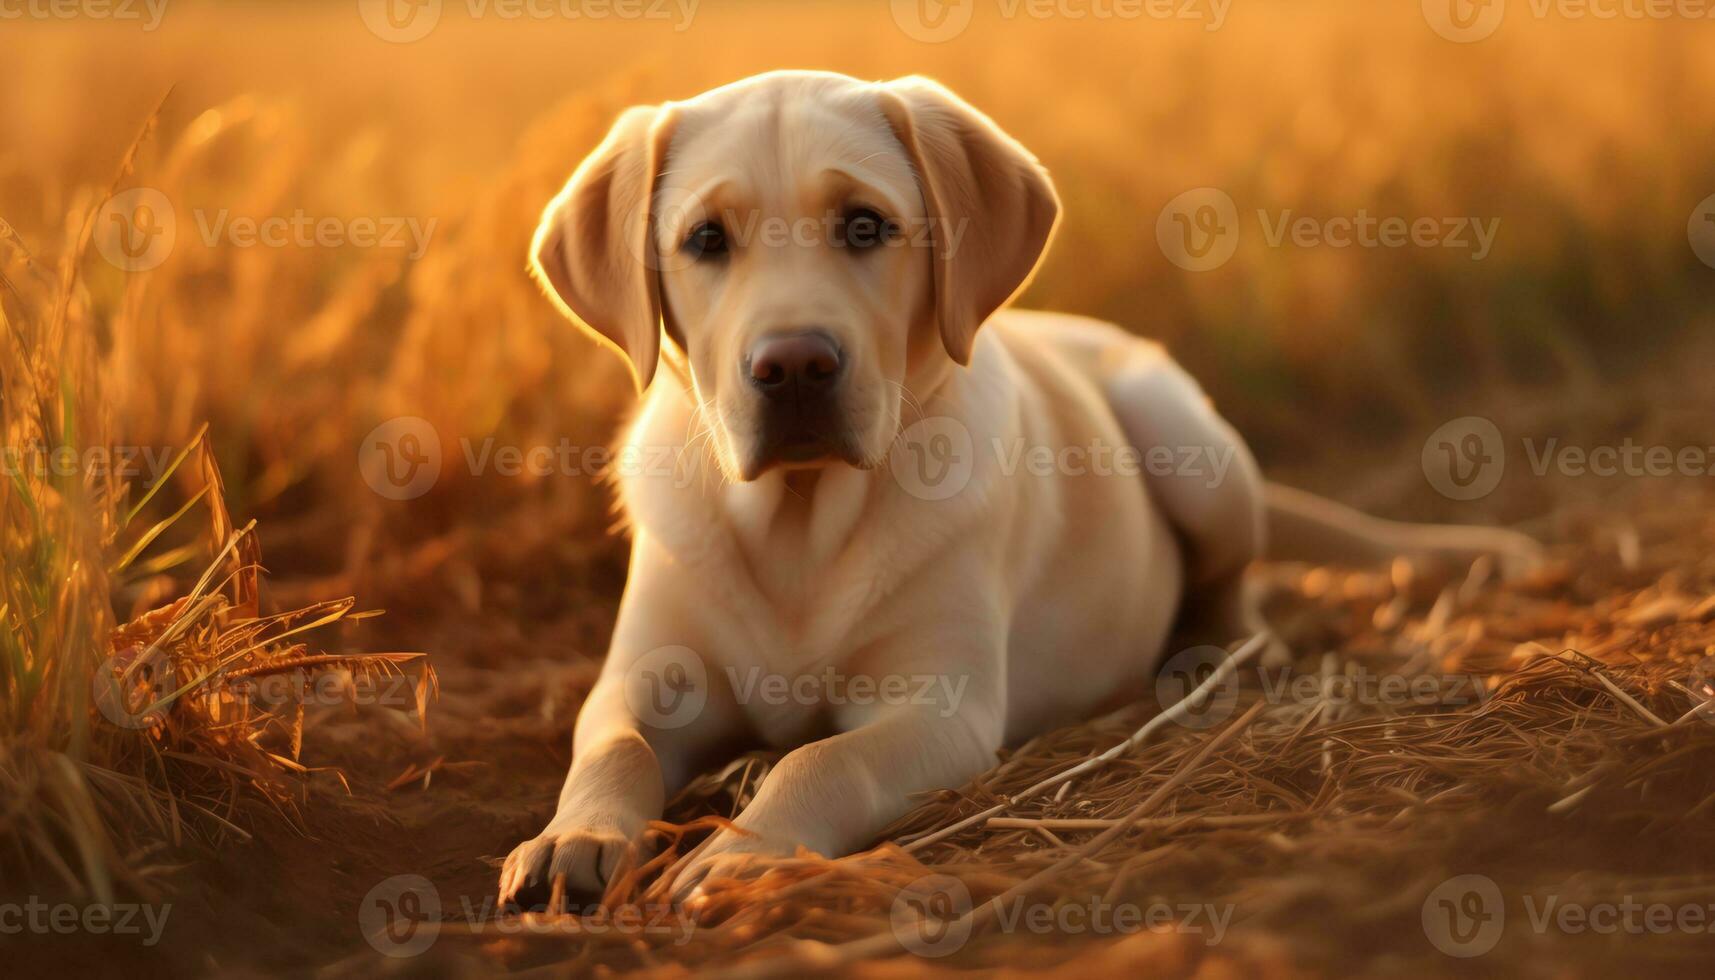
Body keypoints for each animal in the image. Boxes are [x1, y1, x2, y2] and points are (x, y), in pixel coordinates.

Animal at [500, 70, 1536, 906]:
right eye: (706, 239)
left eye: (865, 225)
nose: (793, 365)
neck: (799, 519)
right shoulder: (641, 678)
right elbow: (615, 747)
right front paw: (570, 839)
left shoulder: (939, 708)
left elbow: (827, 761)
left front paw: (743, 853)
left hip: (1184, 437)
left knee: (1233, 590)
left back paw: (1216, 657)